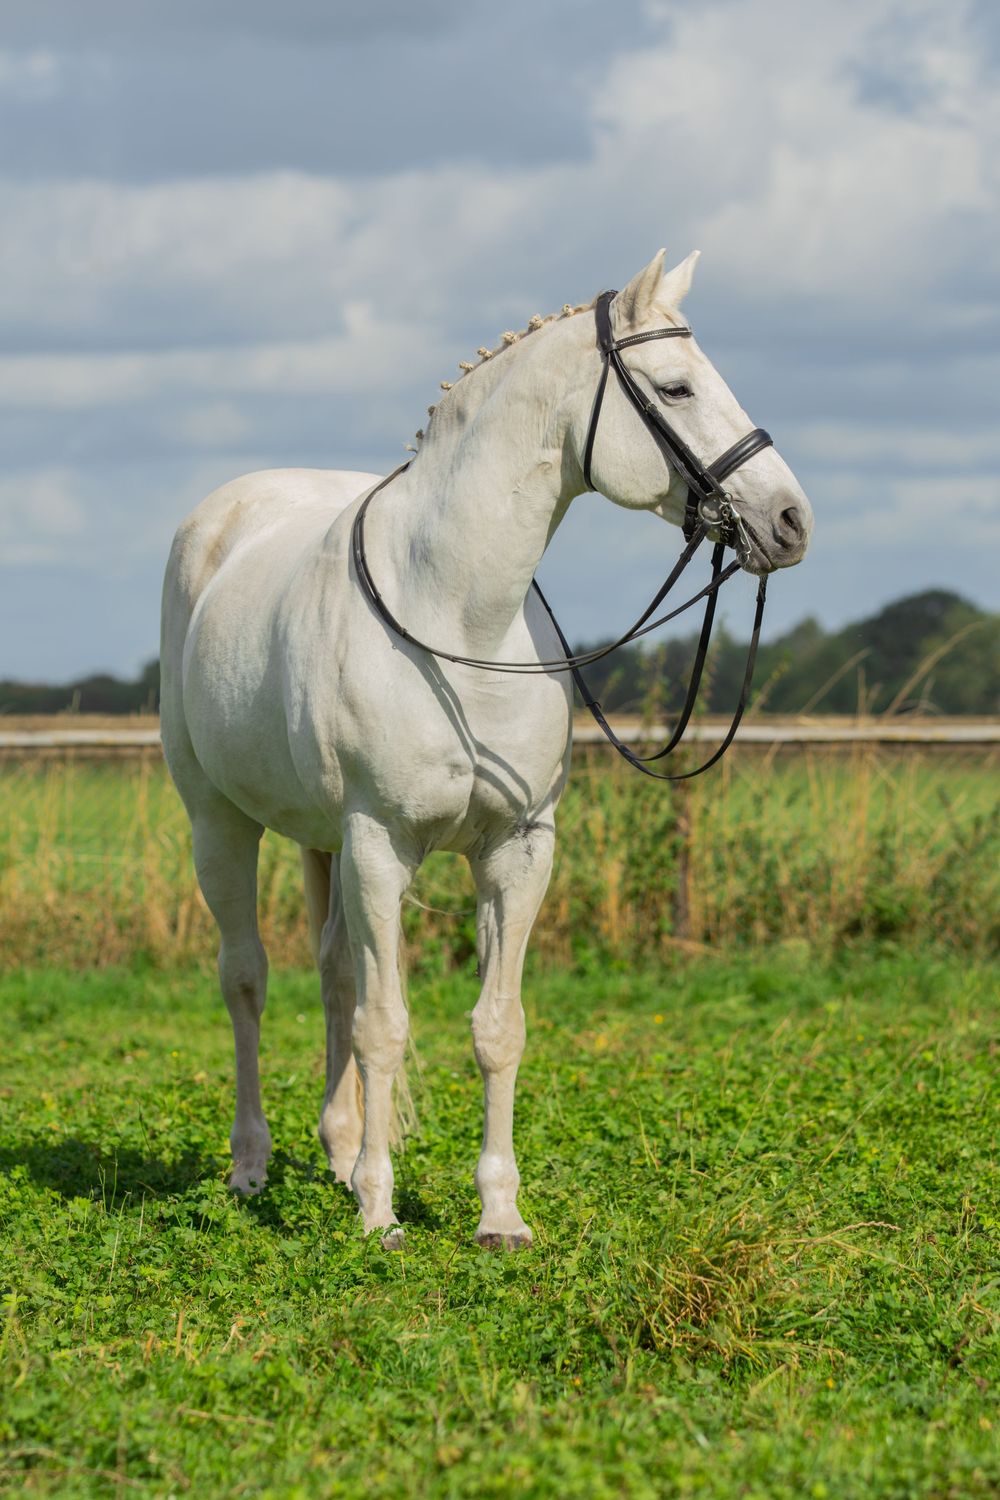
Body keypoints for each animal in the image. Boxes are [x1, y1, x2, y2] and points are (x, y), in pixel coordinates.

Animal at [160, 249, 813, 1250]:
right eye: (676, 386)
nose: (789, 520)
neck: (458, 615)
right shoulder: (381, 845)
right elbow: (386, 1025)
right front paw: (382, 1214)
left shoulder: (516, 848)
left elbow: (494, 1026)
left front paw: (498, 1213)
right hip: (222, 826)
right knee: (248, 981)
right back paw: (251, 1168)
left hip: (324, 841)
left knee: (335, 976)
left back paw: (339, 1155)